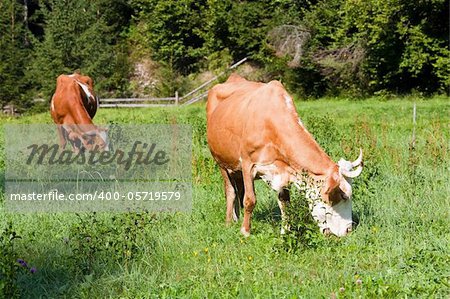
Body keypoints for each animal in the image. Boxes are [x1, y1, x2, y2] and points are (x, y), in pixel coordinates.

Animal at [207, 74, 362, 238]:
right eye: (344, 196)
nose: (348, 230)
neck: (270, 124)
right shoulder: (247, 163)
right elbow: (249, 200)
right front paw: (245, 231)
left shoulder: (285, 170)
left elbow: (285, 202)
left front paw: (285, 231)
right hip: (221, 161)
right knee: (230, 191)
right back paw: (229, 222)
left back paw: (236, 217)